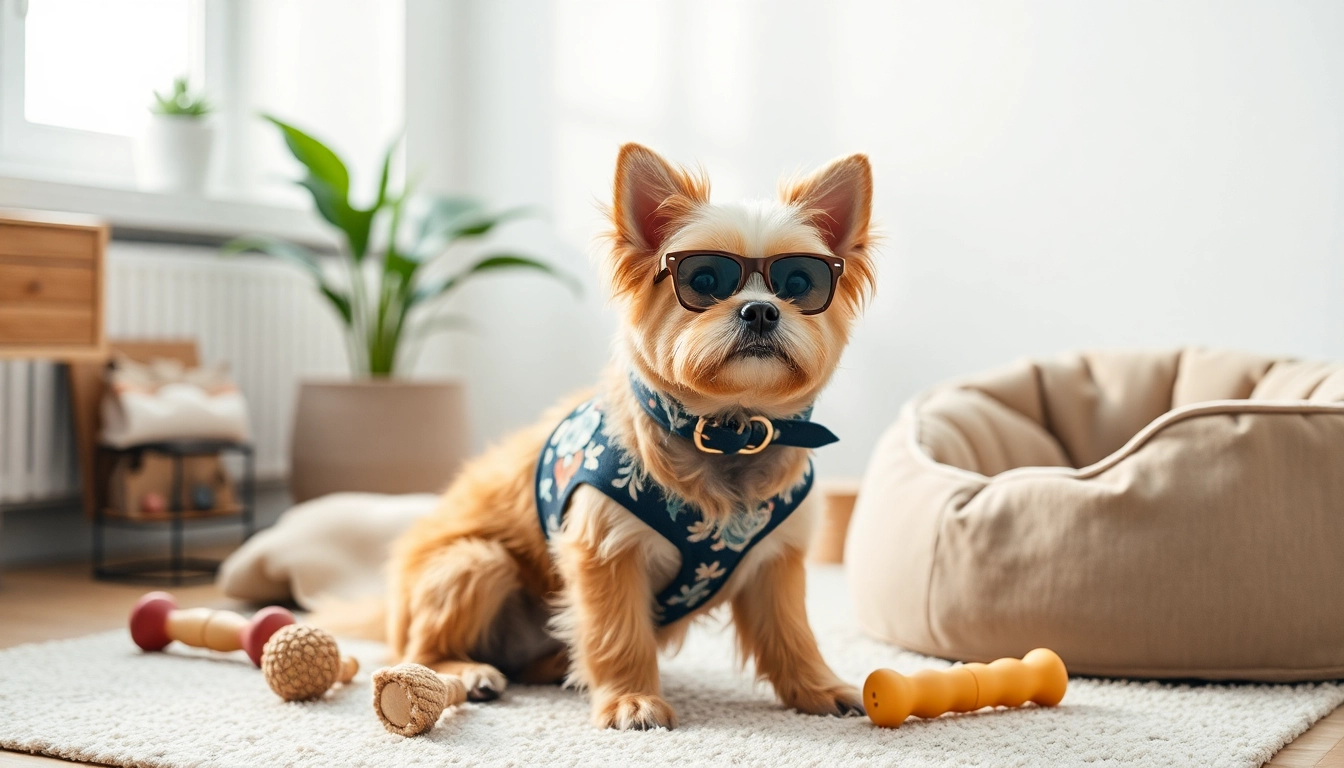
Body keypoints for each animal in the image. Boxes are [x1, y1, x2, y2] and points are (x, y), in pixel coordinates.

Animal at [384, 142, 876, 726]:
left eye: (799, 284)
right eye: (703, 282)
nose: (760, 310)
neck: (727, 431)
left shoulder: (776, 565)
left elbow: (793, 634)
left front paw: (819, 688)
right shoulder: (605, 549)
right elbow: (617, 635)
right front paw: (631, 698)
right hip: (475, 562)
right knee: (420, 651)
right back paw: (466, 671)